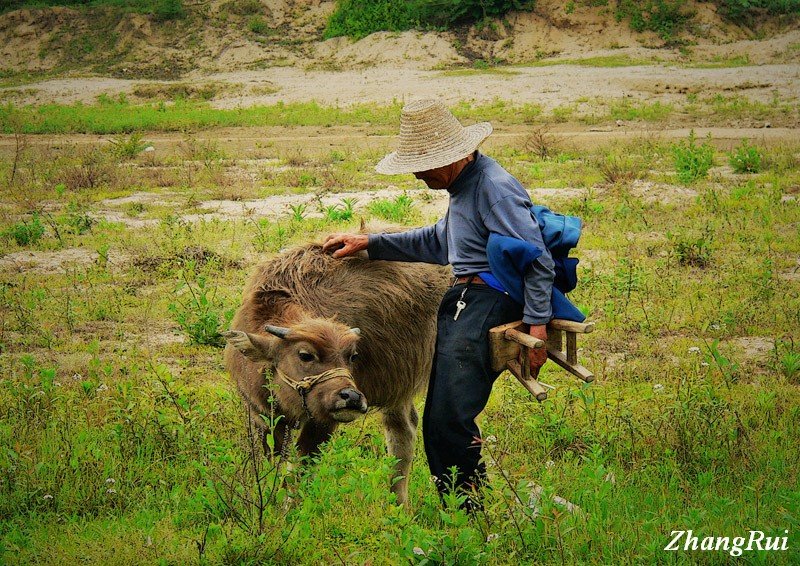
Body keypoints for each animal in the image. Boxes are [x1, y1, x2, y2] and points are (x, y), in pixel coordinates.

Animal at [225, 244, 450, 506]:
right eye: (305, 355)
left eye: (352, 356)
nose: (351, 397)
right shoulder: (263, 417)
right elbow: (277, 467)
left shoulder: (322, 423)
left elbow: (299, 470)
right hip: (398, 388)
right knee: (403, 429)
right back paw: (398, 505)